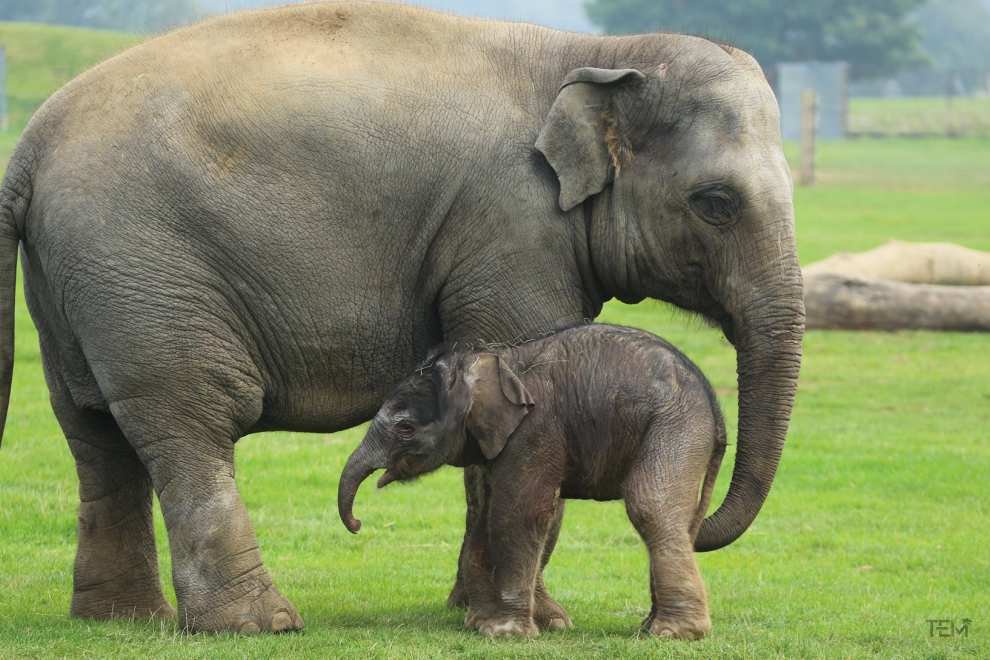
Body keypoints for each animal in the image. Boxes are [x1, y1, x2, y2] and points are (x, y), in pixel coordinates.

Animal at [340, 324, 728, 640]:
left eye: (405, 428)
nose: (358, 523)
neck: (490, 362)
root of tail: (713, 403)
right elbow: (485, 514)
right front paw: (480, 624)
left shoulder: (534, 429)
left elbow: (517, 512)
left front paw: (506, 633)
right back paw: (651, 627)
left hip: (675, 427)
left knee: (650, 506)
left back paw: (674, 633)